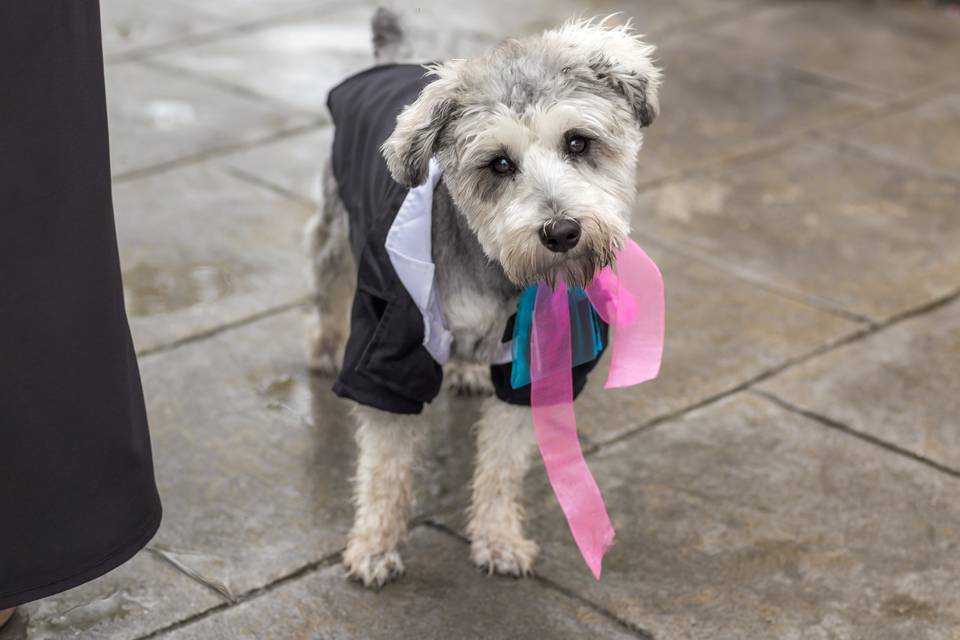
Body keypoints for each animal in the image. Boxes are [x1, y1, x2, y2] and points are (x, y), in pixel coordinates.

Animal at [306, 10, 660, 592]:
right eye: (498, 164)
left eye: (578, 143)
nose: (562, 232)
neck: (494, 268)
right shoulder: (389, 357)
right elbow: (384, 466)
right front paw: (374, 545)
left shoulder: (533, 367)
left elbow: (501, 465)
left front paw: (498, 539)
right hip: (334, 231)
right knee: (323, 283)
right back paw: (320, 346)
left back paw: (465, 371)